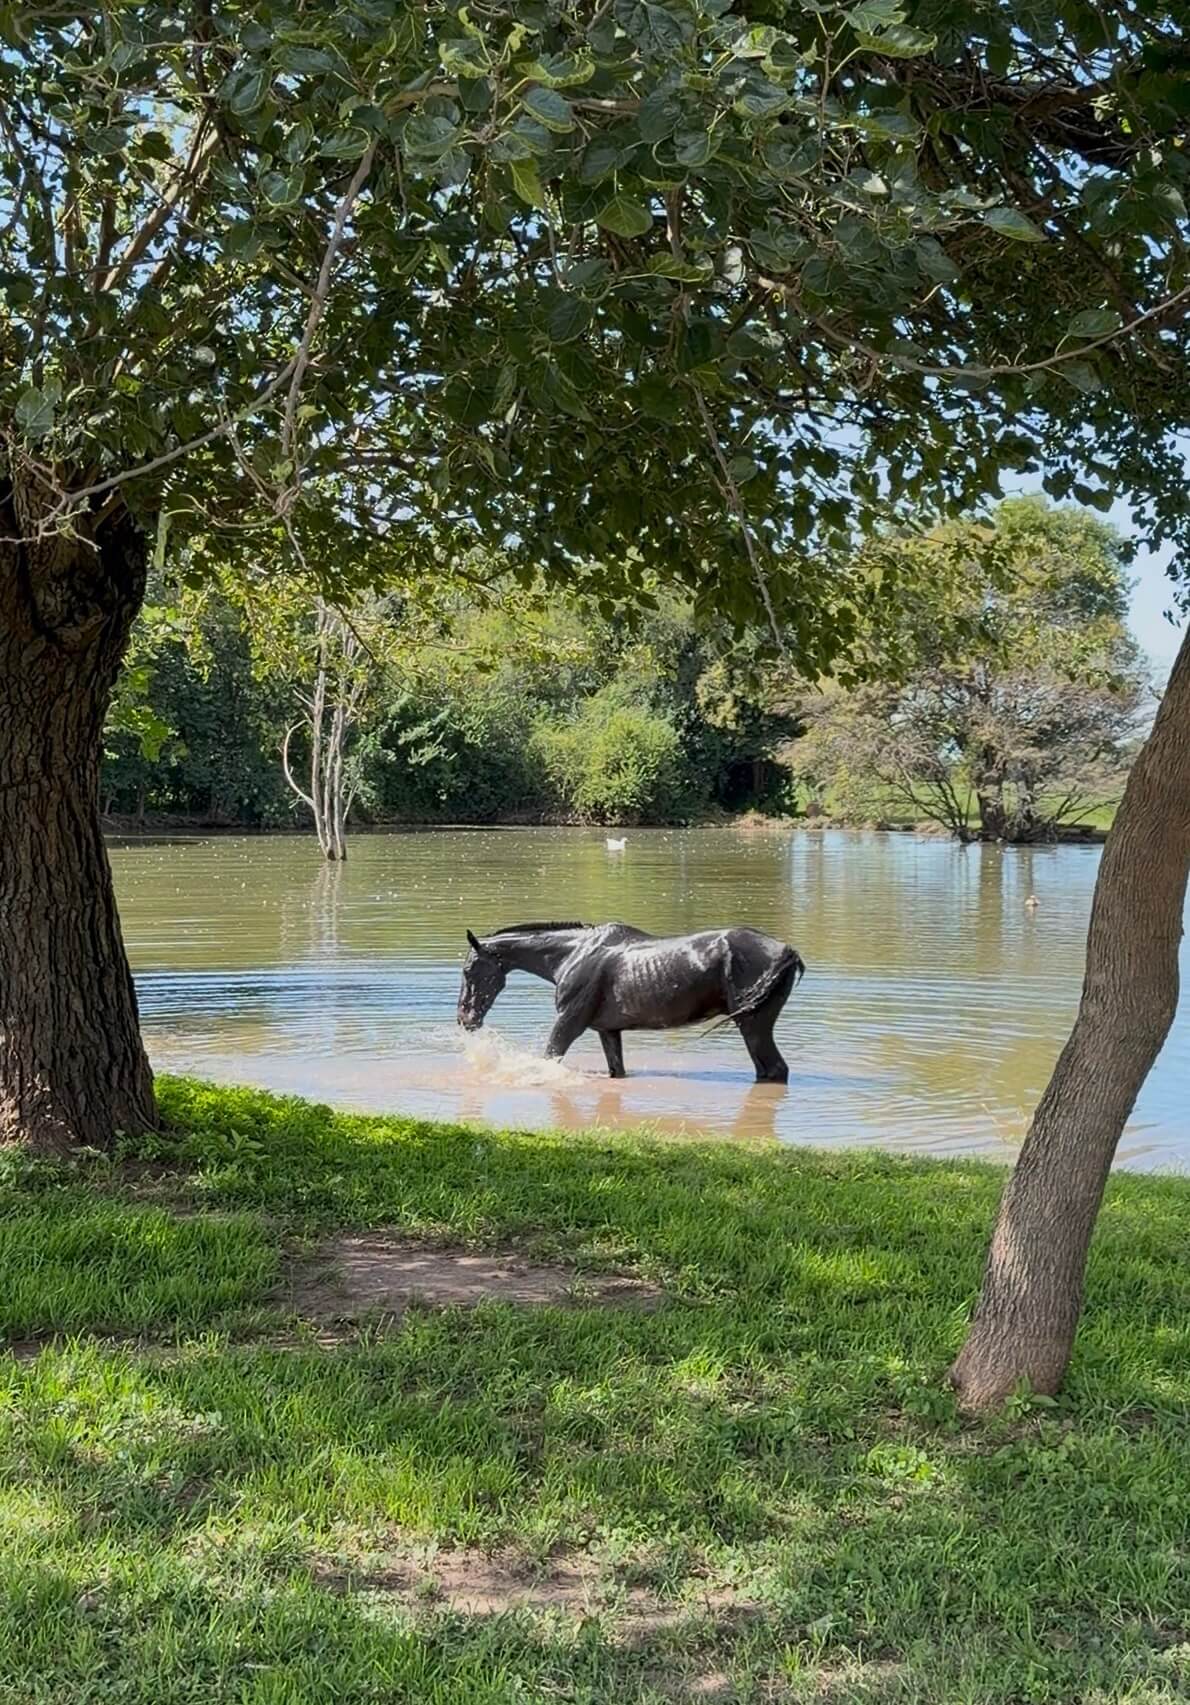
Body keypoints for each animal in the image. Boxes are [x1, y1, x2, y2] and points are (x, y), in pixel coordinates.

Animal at [456, 921, 805, 1083]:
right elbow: (617, 1070)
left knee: (774, 1069)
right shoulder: (607, 1031)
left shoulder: (568, 1024)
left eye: (468, 970)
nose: (465, 1019)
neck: (571, 954)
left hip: (753, 1025)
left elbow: (549, 1059)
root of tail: (787, 951)